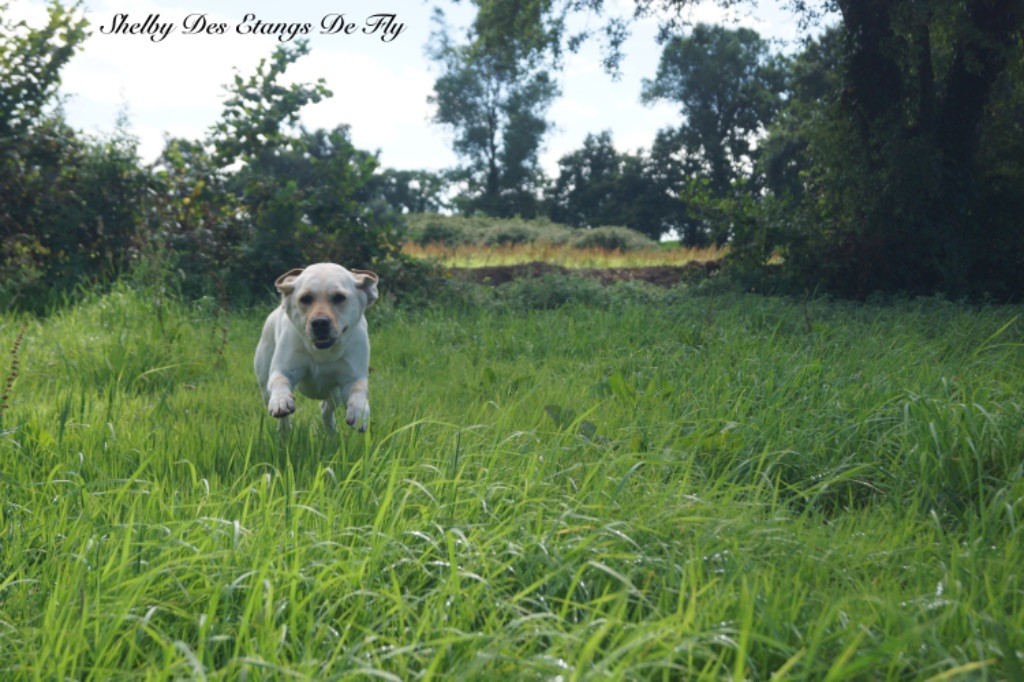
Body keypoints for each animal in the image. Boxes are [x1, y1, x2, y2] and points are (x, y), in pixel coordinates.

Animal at [256, 261, 380, 430]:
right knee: (279, 410)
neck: (322, 354)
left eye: (339, 297)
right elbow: (280, 380)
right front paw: (281, 401)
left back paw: (331, 431)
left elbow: (358, 388)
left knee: (326, 409)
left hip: (335, 394)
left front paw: (359, 413)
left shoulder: (352, 376)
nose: (320, 322)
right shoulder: (283, 369)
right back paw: (284, 429)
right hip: (264, 380)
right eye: (305, 298)